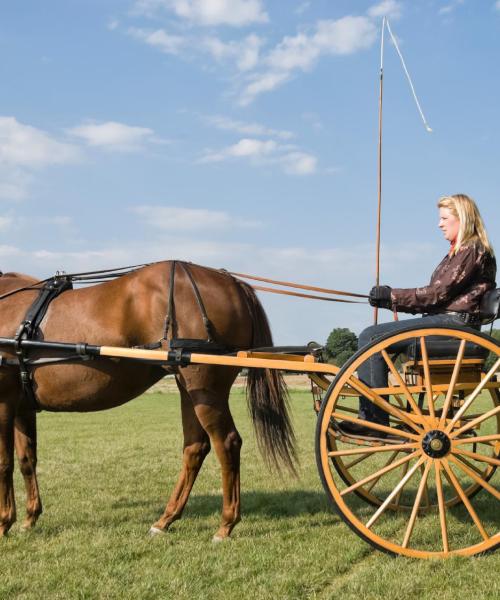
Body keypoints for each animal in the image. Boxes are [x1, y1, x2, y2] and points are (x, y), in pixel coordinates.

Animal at [0, 262, 296, 540]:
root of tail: (232, 282)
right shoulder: (22, 407)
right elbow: (26, 460)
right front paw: (29, 518)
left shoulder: (4, 402)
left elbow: (5, 462)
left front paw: (5, 522)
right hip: (189, 388)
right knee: (195, 448)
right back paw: (166, 519)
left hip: (206, 389)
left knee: (227, 443)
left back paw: (225, 524)